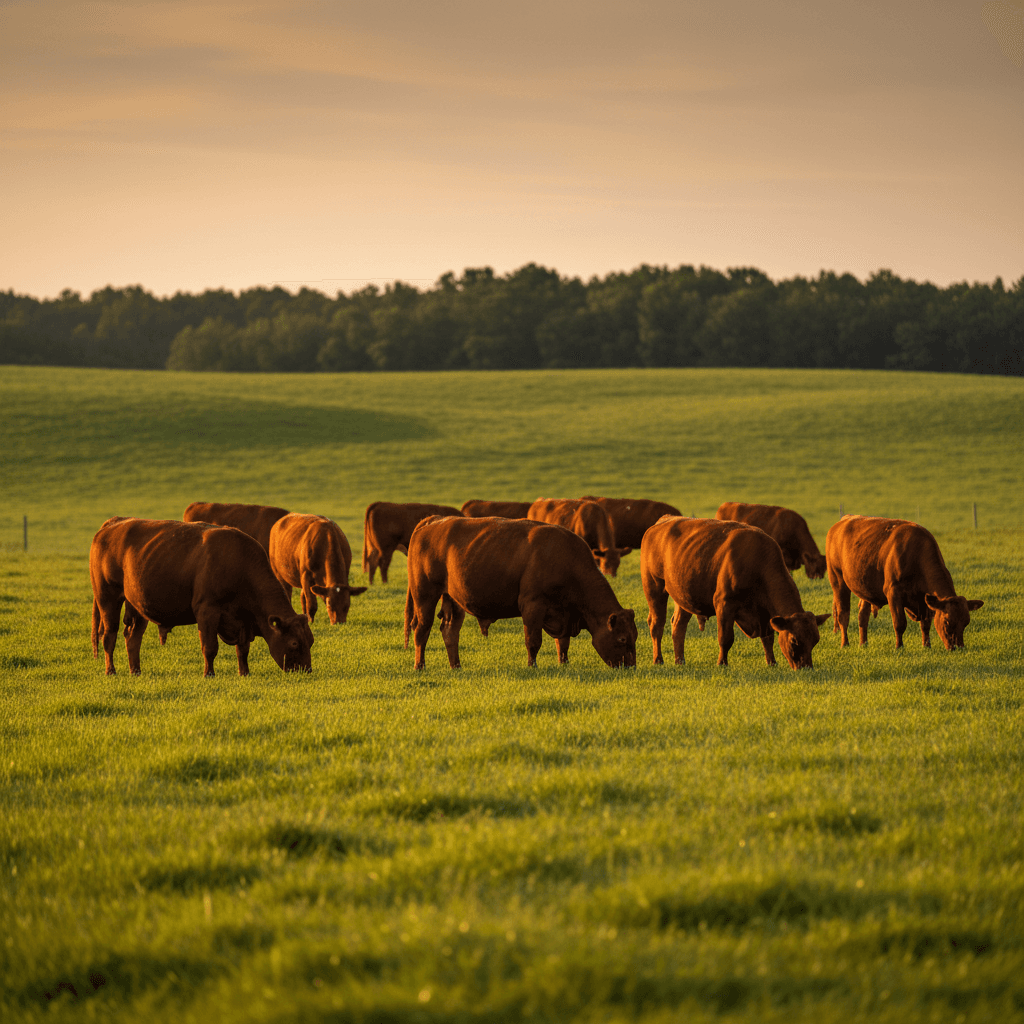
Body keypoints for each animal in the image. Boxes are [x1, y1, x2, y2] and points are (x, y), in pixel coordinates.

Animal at [90, 517, 313, 676]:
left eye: (310, 641)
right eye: (294, 643)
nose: (306, 671)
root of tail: (113, 523)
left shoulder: (243, 620)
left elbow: (243, 650)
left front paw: (245, 673)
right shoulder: (207, 611)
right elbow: (210, 647)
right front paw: (209, 674)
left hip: (137, 605)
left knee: (133, 638)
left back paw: (136, 671)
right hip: (107, 598)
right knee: (109, 635)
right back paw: (111, 671)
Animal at [403, 516, 638, 670]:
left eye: (634, 636)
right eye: (622, 639)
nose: (630, 668)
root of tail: (434, 520)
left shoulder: (563, 612)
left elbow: (562, 643)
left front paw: (564, 663)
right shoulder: (533, 606)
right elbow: (533, 641)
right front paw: (532, 666)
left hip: (453, 599)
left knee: (450, 631)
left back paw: (456, 666)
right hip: (425, 595)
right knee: (421, 630)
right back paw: (419, 666)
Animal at [641, 516, 830, 669]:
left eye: (815, 640)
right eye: (794, 641)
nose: (806, 668)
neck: (757, 562)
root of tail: (663, 521)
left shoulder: (764, 613)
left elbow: (768, 638)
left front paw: (772, 663)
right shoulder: (724, 603)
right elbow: (725, 638)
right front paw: (722, 663)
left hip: (683, 596)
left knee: (678, 626)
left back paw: (680, 660)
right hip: (654, 587)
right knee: (656, 624)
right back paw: (658, 660)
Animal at [825, 515, 983, 650]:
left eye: (966, 622)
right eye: (947, 622)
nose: (958, 648)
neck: (916, 554)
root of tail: (843, 520)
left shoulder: (923, 599)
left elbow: (925, 624)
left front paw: (926, 646)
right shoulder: (893, 593)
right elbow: (899, 623)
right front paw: (899, 647)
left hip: (864, 587)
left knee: (863, 616)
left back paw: (863, 643)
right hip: (838, 581)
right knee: (843, 615)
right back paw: (845, 644)